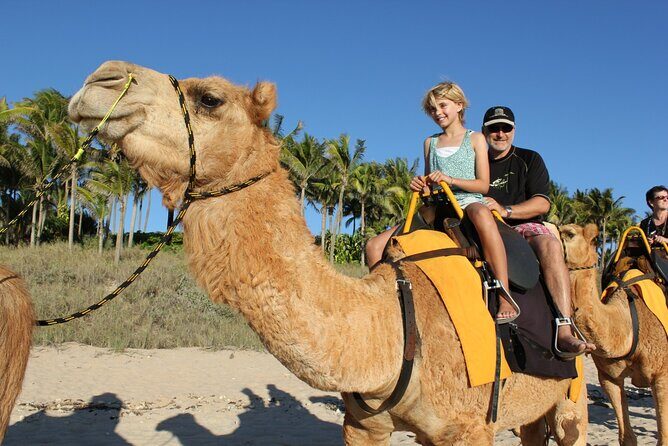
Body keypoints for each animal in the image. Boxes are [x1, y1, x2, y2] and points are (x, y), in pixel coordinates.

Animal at [69, 60, 587, 445]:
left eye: (210, 98)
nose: (101, 79)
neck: (393, 327)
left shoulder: (469, 428)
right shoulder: (363, 427)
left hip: (571, 396)